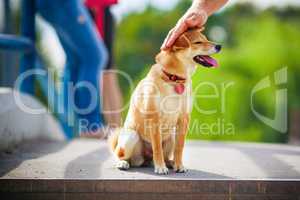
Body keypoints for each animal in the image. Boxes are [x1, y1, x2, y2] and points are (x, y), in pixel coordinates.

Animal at [109, 27, 221, 174]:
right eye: (198, 42)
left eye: (206, 39)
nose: (219, 46)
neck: (174, 79)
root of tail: (146, 158)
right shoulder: (154, 118)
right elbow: (157, 148)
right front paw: (160, 167)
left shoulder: (184, 118)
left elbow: (179, 147)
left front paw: (179, 165)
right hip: (131, 136)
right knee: (121, 155)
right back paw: (123, 162)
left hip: (171, 136)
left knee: (166, 155)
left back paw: (170, 163)